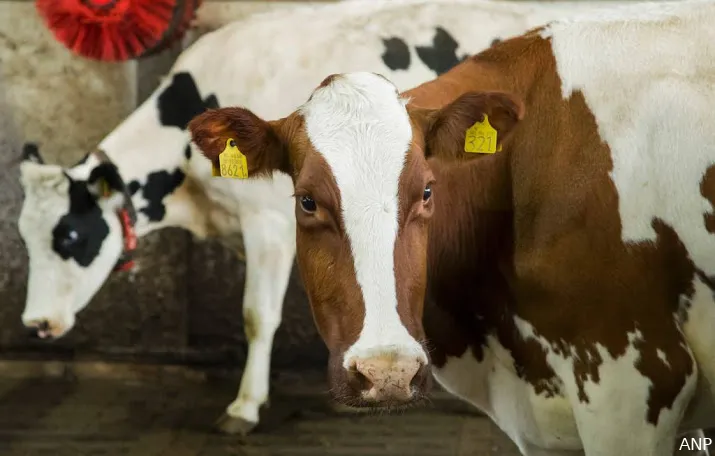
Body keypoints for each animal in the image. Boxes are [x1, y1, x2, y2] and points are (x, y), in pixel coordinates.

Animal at [18, 0, 616, 436]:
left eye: (70, 235)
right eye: (25, 239)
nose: (35, 324)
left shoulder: (266, 224)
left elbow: (257, 316)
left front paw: (244, 407)